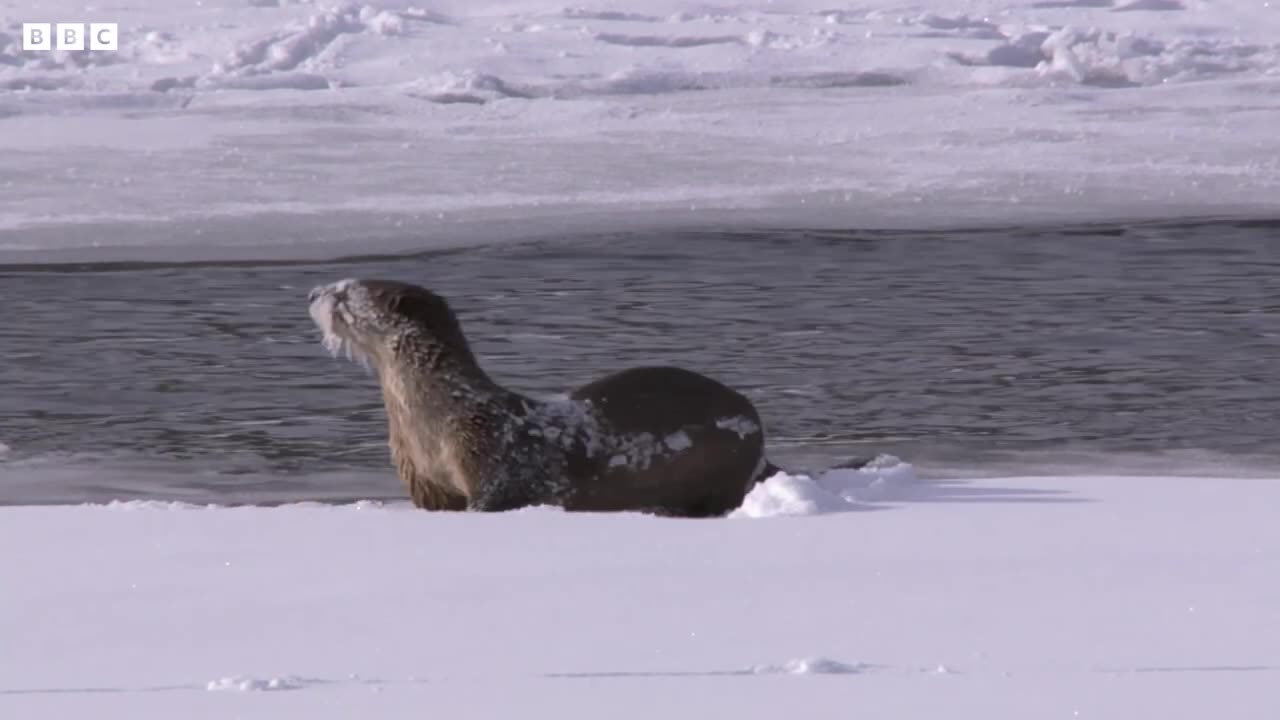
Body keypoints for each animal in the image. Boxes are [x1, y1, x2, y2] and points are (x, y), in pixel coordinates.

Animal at [311, 275, 788, 515]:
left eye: (344, 294)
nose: (314, 291)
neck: (436, 419)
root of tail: (756, 421)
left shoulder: (494, 459)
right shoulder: (423, 482)